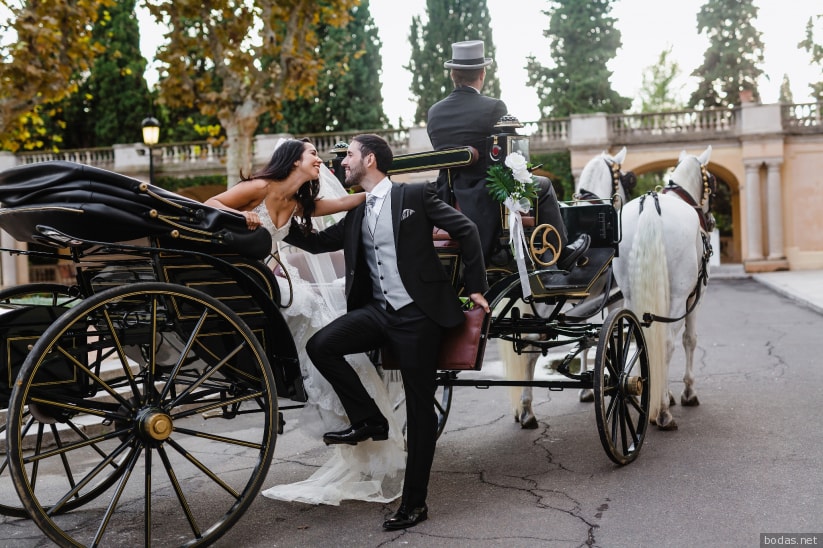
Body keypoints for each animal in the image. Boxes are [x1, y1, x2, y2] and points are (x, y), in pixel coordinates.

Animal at [502, 147, 632, 428]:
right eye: (627, 179)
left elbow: (586, 340)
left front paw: (585, 387)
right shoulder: (615, 299)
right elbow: (604, 338)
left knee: (528, 345)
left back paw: (524, 407)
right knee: (531, 348)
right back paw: (527, 408)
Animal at [612, 146, 716, 432]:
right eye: (713, 184)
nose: (712, 220)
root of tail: (650, 206)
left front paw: (661, 392)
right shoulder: (695, 298)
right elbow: (689, 340)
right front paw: (686, 393)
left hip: (630, 293)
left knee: (639, 338)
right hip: (679, 297)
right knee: (668, 343)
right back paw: (663, 414)